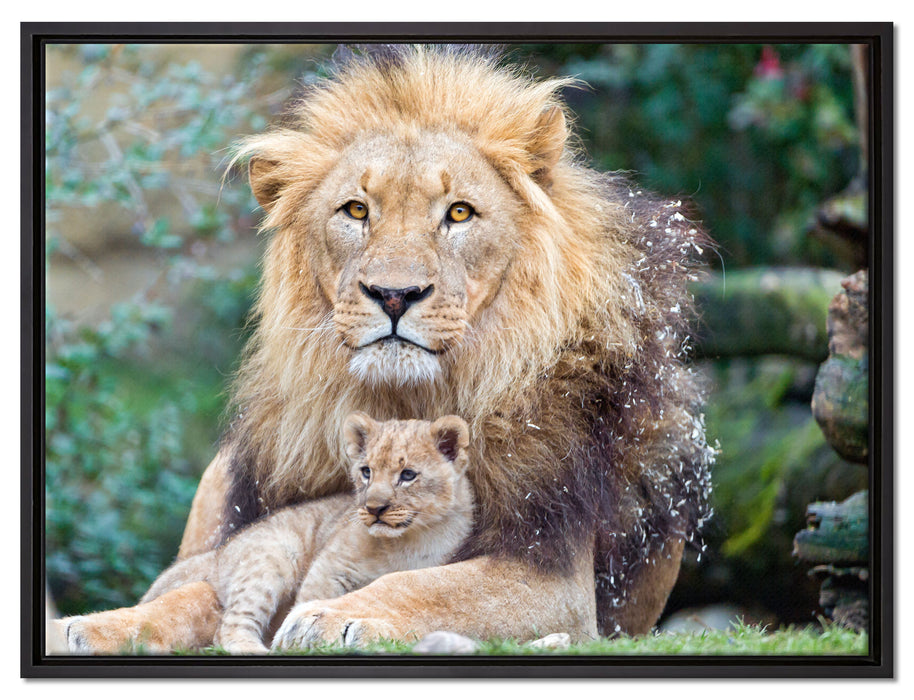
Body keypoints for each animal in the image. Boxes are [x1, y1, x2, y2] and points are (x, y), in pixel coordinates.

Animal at [61, 414, 474, 654]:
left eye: (408, 475)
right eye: (367, 471)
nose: (374, 508)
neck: (409, 538)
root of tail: (219, 554)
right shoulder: (328, 568)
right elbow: (308, 606)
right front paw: (297, 639)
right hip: (273, 555)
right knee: (228, 629)